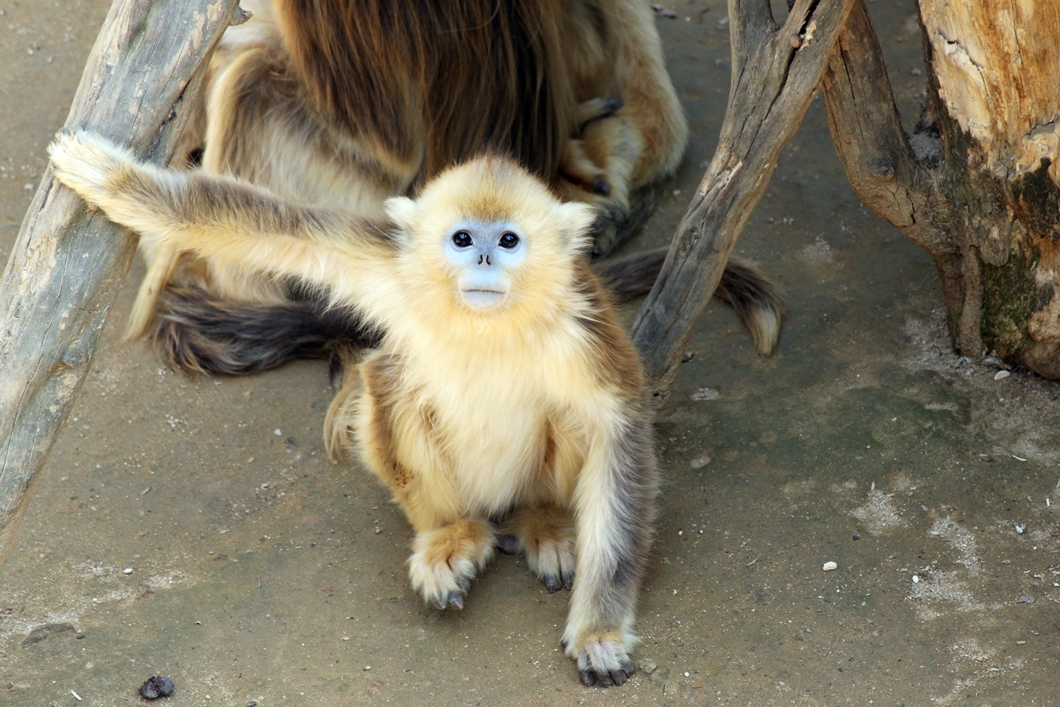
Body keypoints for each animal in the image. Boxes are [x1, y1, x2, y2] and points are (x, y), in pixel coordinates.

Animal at [50, 129, 663, 687]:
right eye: (463, 238)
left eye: (510, 240)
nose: (487, 258)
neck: (484, 323)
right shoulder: (388, 266)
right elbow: (274, 231)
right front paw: (116, 182)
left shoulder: (582, 324)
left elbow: (619, 432)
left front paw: (598, 632)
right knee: (392, 380)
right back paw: (453, 534)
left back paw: (543, 519)